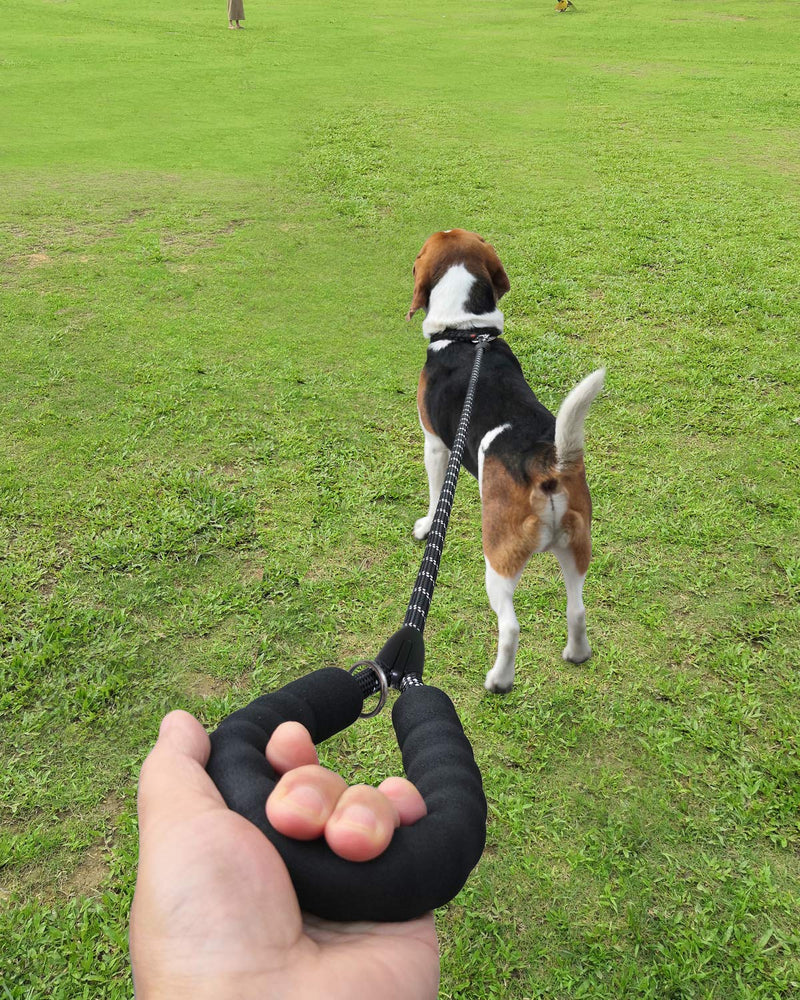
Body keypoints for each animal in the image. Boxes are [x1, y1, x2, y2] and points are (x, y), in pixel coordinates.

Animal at [410, 229, 604, 692]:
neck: (468, 334)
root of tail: (544, 462)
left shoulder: (434, 444)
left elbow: (434, 495)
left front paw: (427, 527)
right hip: (576, 548)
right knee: (577, 609)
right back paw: (576, 654)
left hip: (497, 563)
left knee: (511, 627)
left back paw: (499, 680)